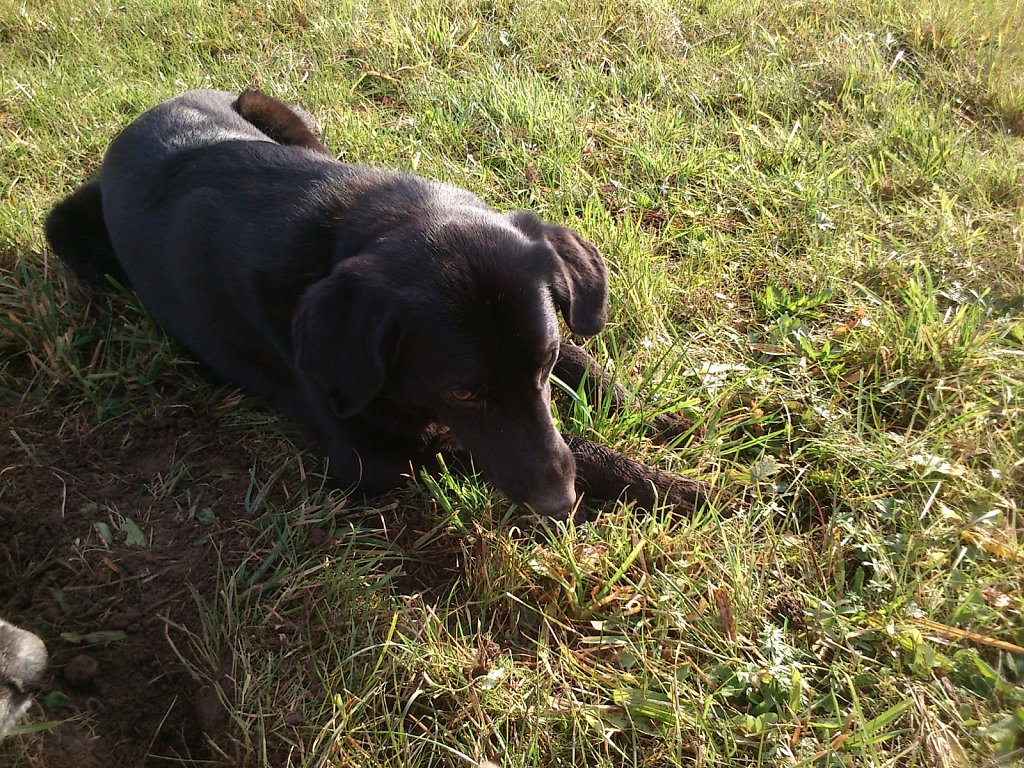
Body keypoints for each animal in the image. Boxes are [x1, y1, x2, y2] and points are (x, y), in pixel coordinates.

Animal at [44, 90, 708, 524]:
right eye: (462, 392)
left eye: (542, 365)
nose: (557, 503)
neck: (359, 227)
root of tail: (139, 120)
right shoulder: (377, 454)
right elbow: (565, 450)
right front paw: (671, 486)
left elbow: (585, 364)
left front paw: (661, 415)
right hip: (68, 234)